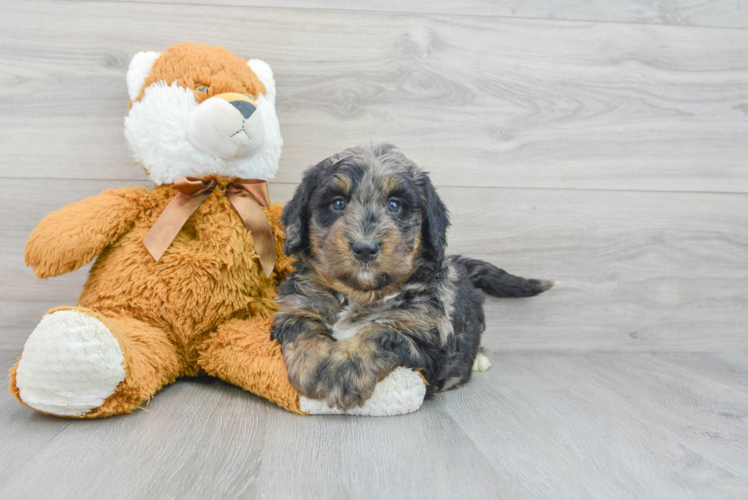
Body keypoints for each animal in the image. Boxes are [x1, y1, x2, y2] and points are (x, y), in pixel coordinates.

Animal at [272, 145, 552, 410]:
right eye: (338, 203)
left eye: (394, 205)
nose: (365, 248)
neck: (361, 294)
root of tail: (459, 263)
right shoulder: (296, 305)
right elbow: (302, 325)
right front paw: (310, 365)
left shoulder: (429, 340)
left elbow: (382, 332)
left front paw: (343, 371)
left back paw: (479, 359)